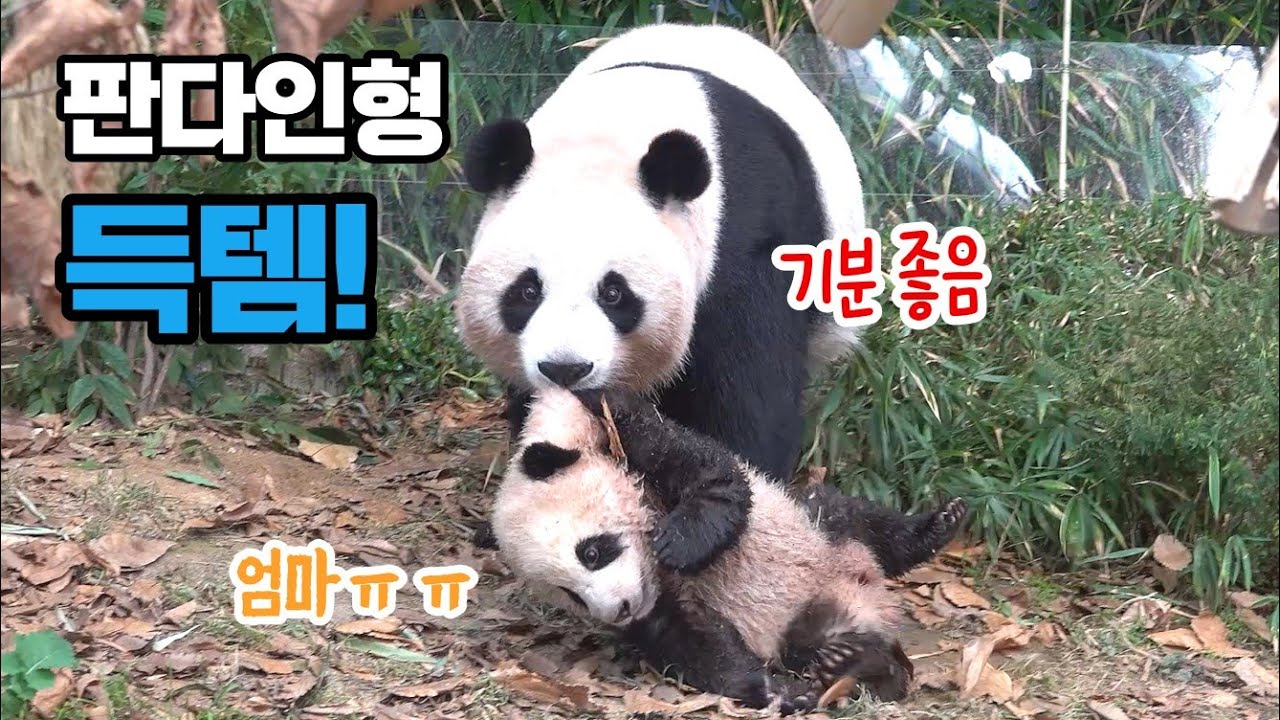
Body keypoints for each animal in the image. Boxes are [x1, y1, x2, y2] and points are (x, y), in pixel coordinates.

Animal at [483, 388, 966, 713]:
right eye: (570, 595)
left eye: (592, 552)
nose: (618, 610)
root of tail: (867, 591)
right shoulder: (666, 608)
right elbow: (694, 644)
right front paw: (772, 689)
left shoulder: (627, 430)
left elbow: (716, 478)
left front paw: (679, 544)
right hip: (808, 618)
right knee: (821, 642)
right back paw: (854, 662)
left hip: (817, 526)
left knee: (858, 518)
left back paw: (939, 525)